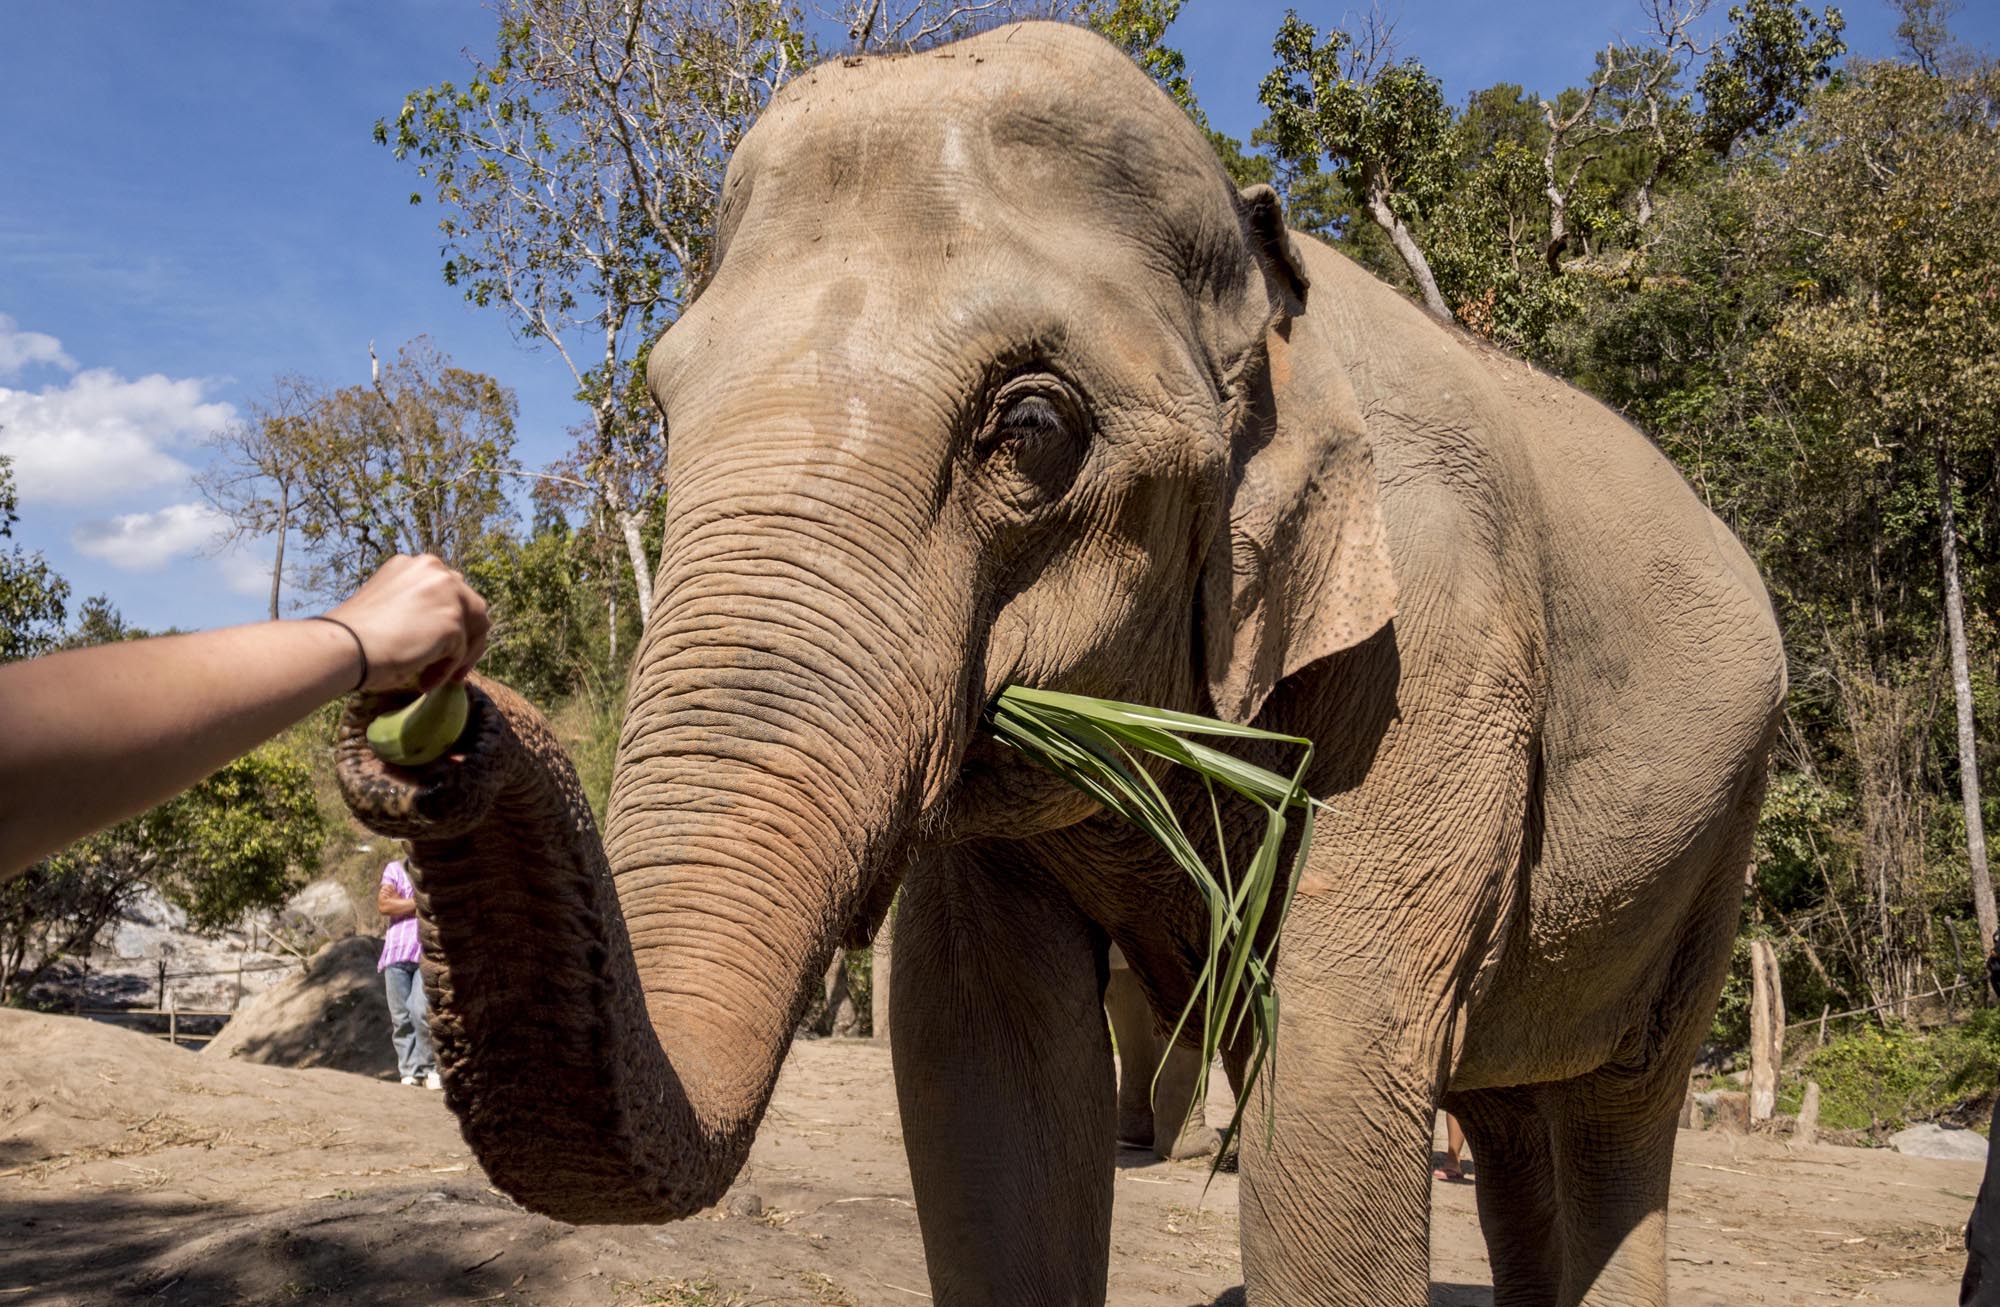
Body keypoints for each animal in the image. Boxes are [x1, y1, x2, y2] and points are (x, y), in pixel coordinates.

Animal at [336, 20, 1792, 1307]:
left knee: (1607, 1119)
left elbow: (1334, 1063)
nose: (424, 705)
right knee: (1515, 1117)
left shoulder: (1440, 653)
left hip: (1719, 837)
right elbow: (981, 1058)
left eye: (1034, 424)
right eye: (664, 406)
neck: (1267, 281)